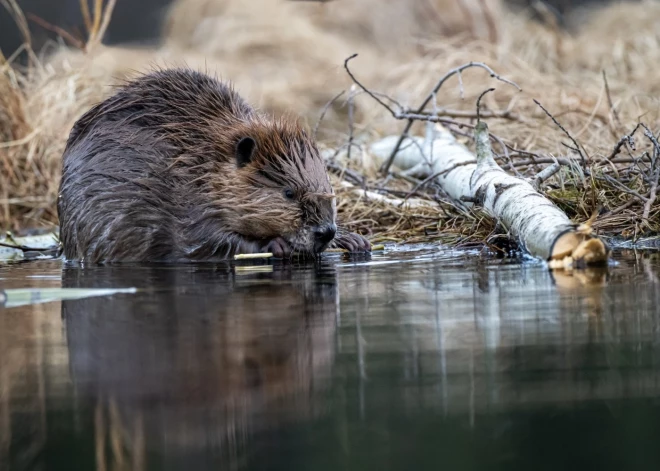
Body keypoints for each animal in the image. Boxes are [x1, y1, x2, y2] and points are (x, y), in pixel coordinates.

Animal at [56, 68, 372, 264]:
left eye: (328, 187)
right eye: (288, 193)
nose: (325, 231)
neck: (198, 163)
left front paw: (354, 240)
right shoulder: (184, 205)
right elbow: (203, 242)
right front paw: (275, 245)